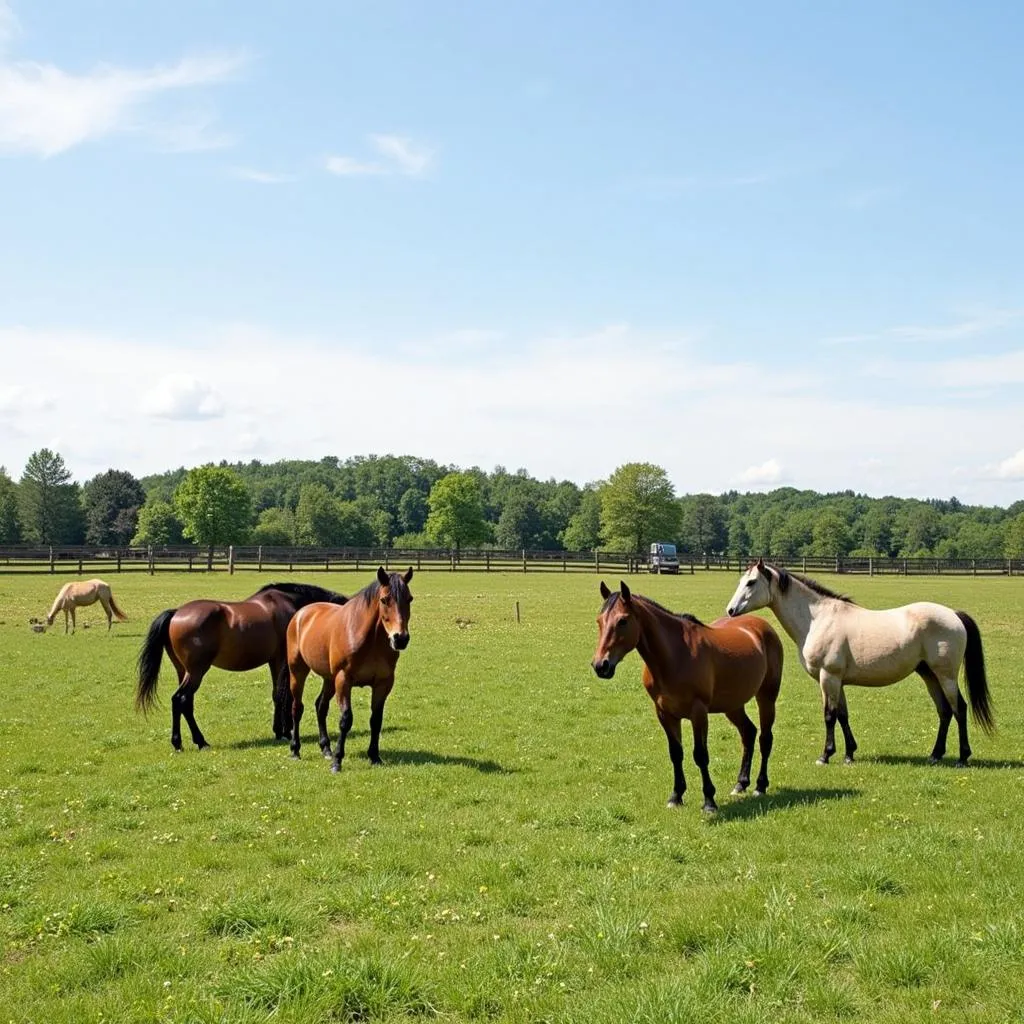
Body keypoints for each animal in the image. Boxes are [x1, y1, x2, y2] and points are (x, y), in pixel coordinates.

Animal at [135, 585, 348, 753]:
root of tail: (176, 613)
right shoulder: (283, 661)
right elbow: (284, 695)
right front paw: (286, 731)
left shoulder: (274, 661)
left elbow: (276, 695)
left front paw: (279, 730)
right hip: (196, 671)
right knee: (182, 699)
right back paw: (199, 742)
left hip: (183, 671)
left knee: (182, 703)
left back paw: (180, 742)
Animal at [286, 565, 413, 770]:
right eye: (384, 599)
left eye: (409, 599)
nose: (400, 638)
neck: (370, 639)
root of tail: (301, 614)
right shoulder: (344, 679)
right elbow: (346, 720)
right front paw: (338, 761)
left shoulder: (383, 683)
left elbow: (376, 720)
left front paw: (374, 756)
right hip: (298, 672)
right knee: (297, 708)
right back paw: (295, 750)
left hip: (329, 679)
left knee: (321, 706)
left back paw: (326, 749)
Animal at [593, 581, 782, 811]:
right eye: (599, 621)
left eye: (622, 621)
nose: (600, 665)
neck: (674, 656)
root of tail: (762, 626)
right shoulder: (665, 713)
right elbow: (676, 753)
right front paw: (676, 796)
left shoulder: (698, 712)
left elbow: (700, 755)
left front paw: (709, 801)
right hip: (733, 705)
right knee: (748, 733)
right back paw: (741, 783)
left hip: (767, 697)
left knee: (765, 738)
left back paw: (760, 786)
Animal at [724, 561, 995, 770]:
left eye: (751, 583)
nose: (730, 610)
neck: (818, 619)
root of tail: (954, 614)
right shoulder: (837, 681)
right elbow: (843, 715)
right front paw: (849, 754)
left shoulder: (828, 677)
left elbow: (829, 715)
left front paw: (825, 755)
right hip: (929, 675)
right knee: (944, 711)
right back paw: (936, 755)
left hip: (946, 676)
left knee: (959, 709)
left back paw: (962, 757)